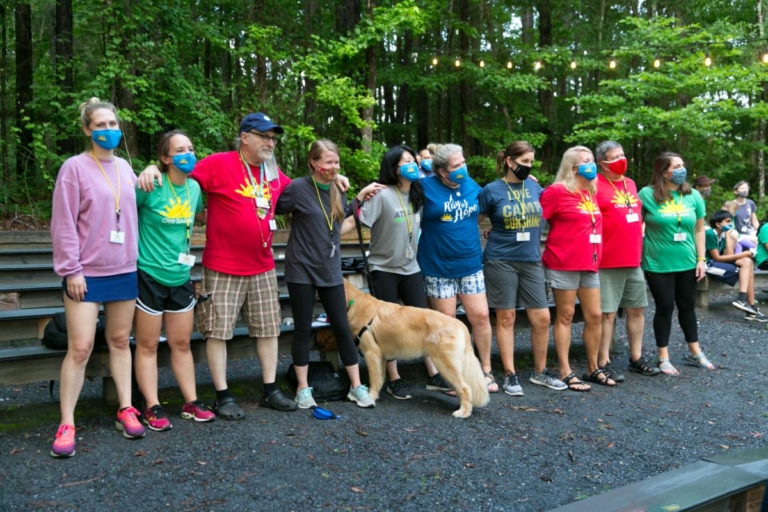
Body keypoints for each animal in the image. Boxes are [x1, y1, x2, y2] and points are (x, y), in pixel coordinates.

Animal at [344, 280, 488, 420]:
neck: (354, 301)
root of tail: (461, 325)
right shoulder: (381, 356)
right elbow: (379, 378)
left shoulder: (371, 354)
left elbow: (374, 380)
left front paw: (370, 397)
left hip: (445, 363)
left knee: (464, 387)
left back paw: (463, 412)